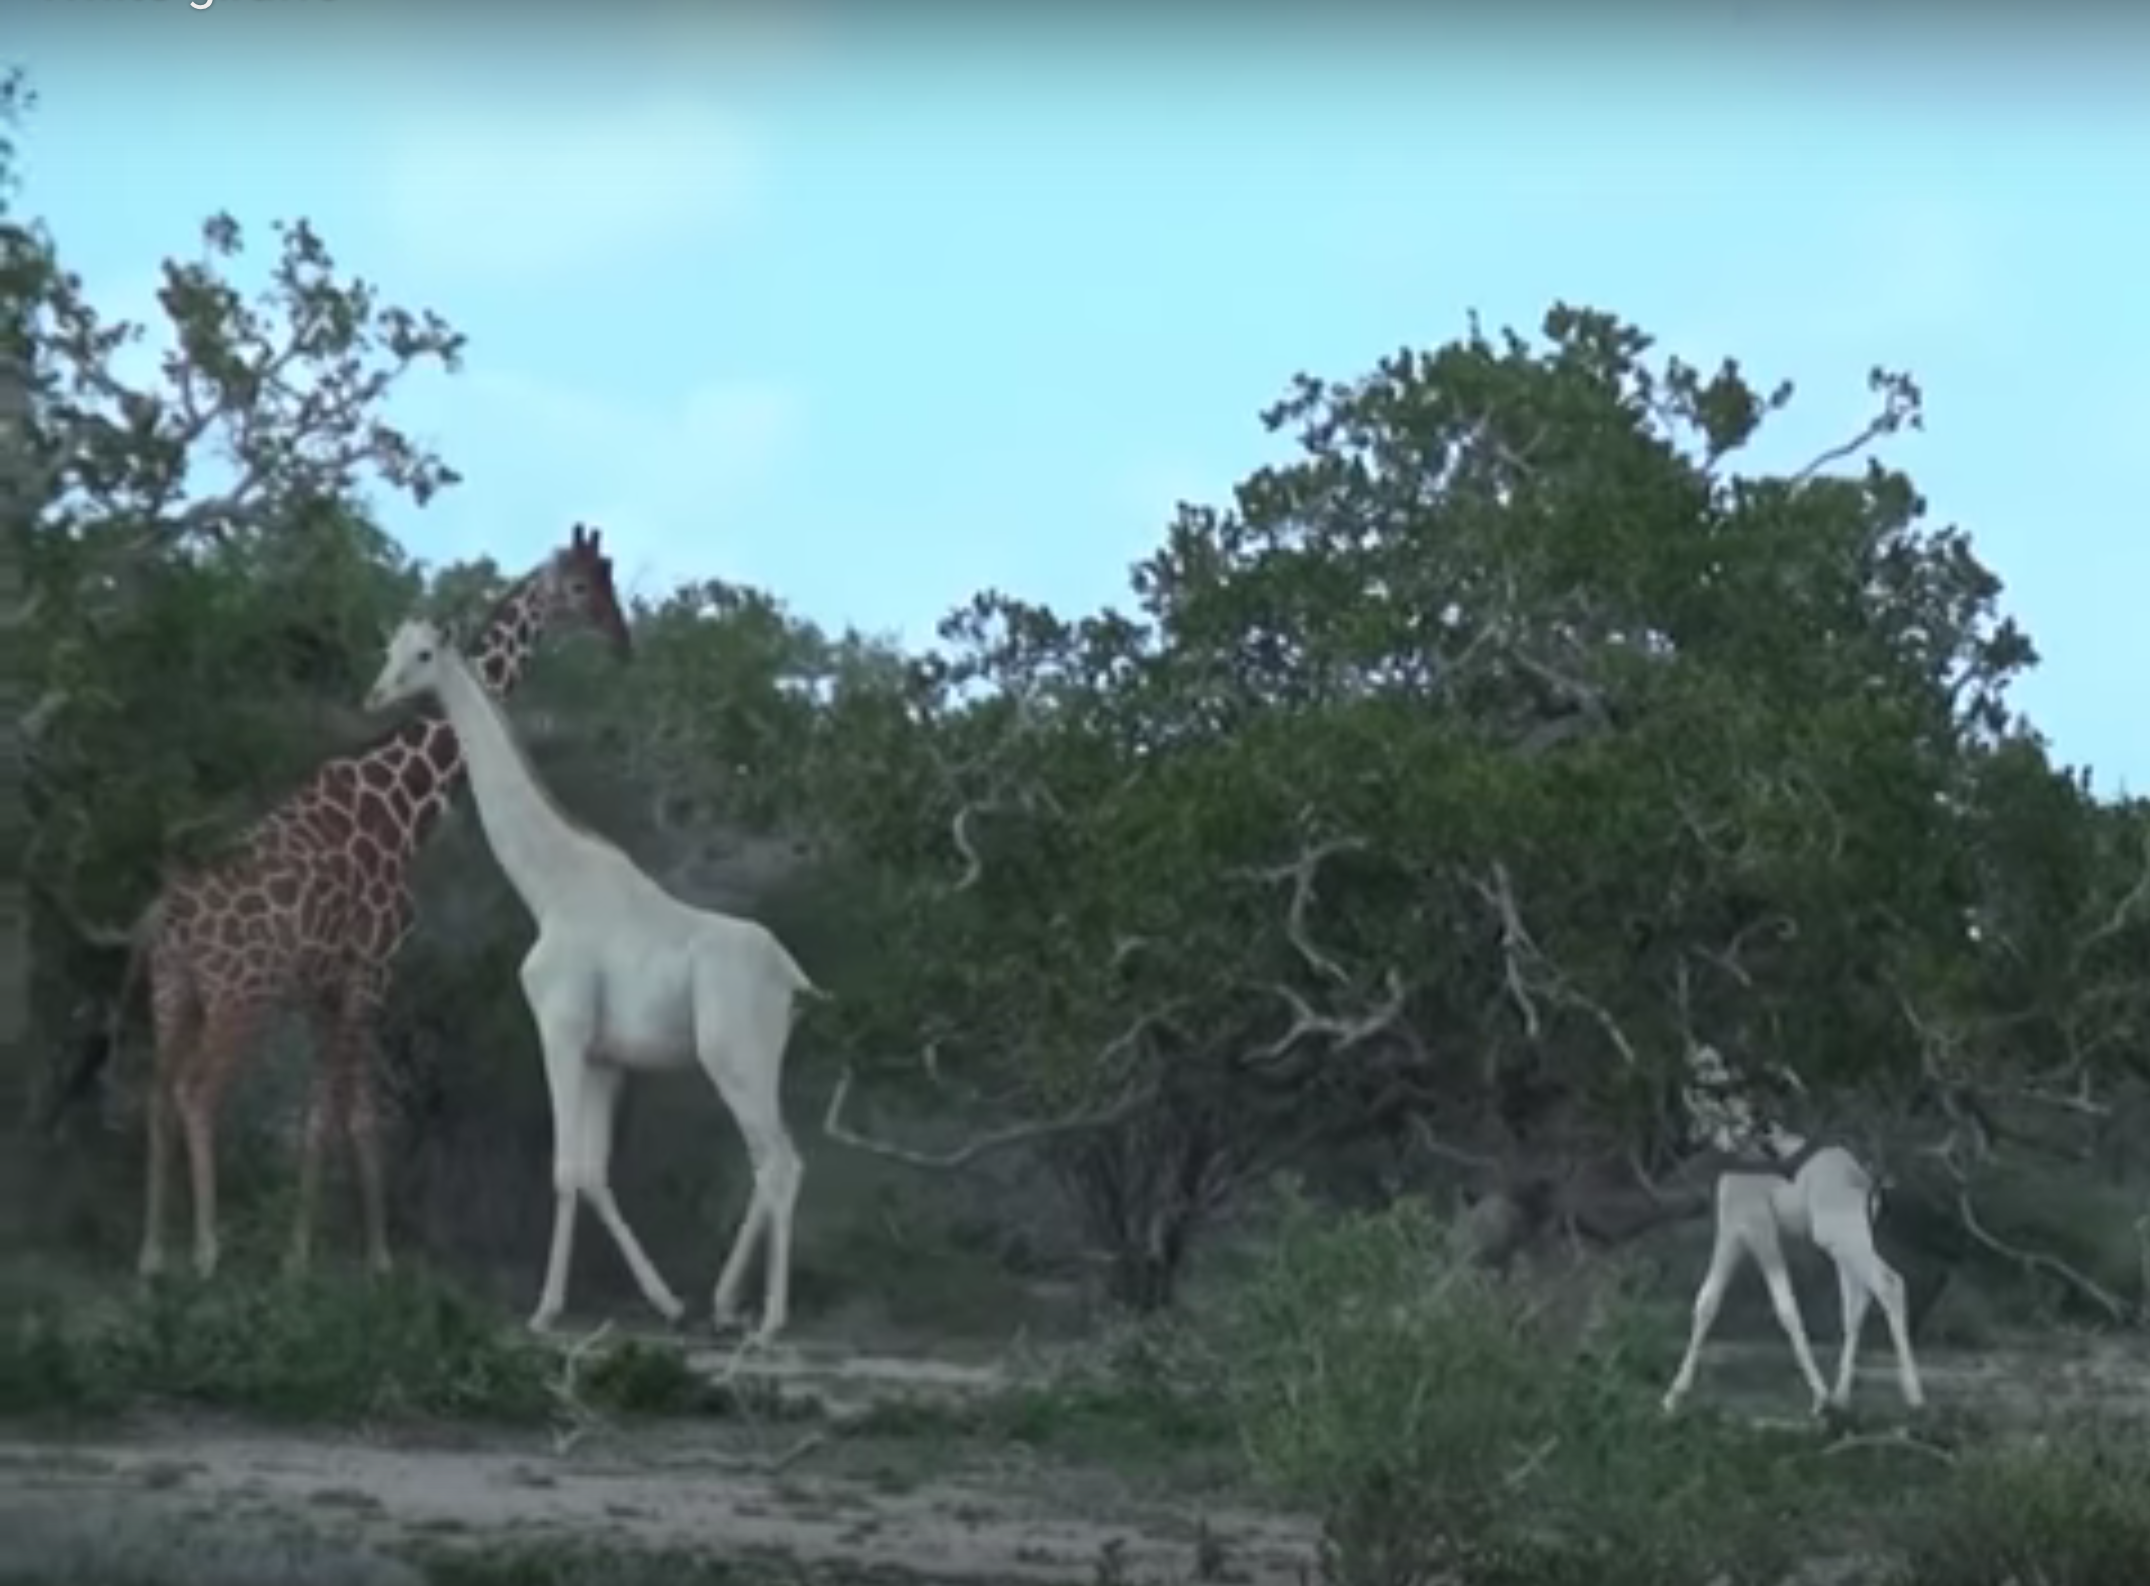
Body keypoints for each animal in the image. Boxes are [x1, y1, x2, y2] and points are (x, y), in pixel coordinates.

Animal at [111, 524, 627, 1280]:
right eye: (585, 584)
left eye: (608, 578)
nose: (622, 633)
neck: (402, 810)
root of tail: (168, 915)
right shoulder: (371, 971)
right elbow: (343, 1115)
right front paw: (327, 1259)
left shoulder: (326, 987)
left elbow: (339, 1112)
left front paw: (348, 1254)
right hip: (239, 992)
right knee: (197, 1093)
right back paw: (206, 1252)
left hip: (173, 990)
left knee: (154, 1095)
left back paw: (151, 1255)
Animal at [365, 614, 808, 1332]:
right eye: (391, 649)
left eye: (424, 654)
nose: (377, 694)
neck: (550, 888)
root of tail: (792, 978)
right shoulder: (605, 1057)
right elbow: (595, 1173)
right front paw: (665, 1301)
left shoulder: (561, 1030)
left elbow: (566, 1168)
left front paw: (545, 1310)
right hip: (757, 1062)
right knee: (769, 1163)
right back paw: (723, 1303)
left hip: (734, 1057)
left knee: (778, 1164)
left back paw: (767, 1319)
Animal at [1651, 1044, 1926, 1418]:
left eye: (1710, 1089)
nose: (1689, 1135)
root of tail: (1865, 1180)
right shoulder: (1732, 1231)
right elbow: (1706, 1302)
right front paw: (1673, 1396)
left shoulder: (1757, 1228)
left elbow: (1785, 1307)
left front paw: (1819, 1397)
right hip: (1846, 1241)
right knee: (1856, 1303)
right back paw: (1843, 1395)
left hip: (1841, 1237)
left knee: (1889, 1284)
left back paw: (1913, 1396)